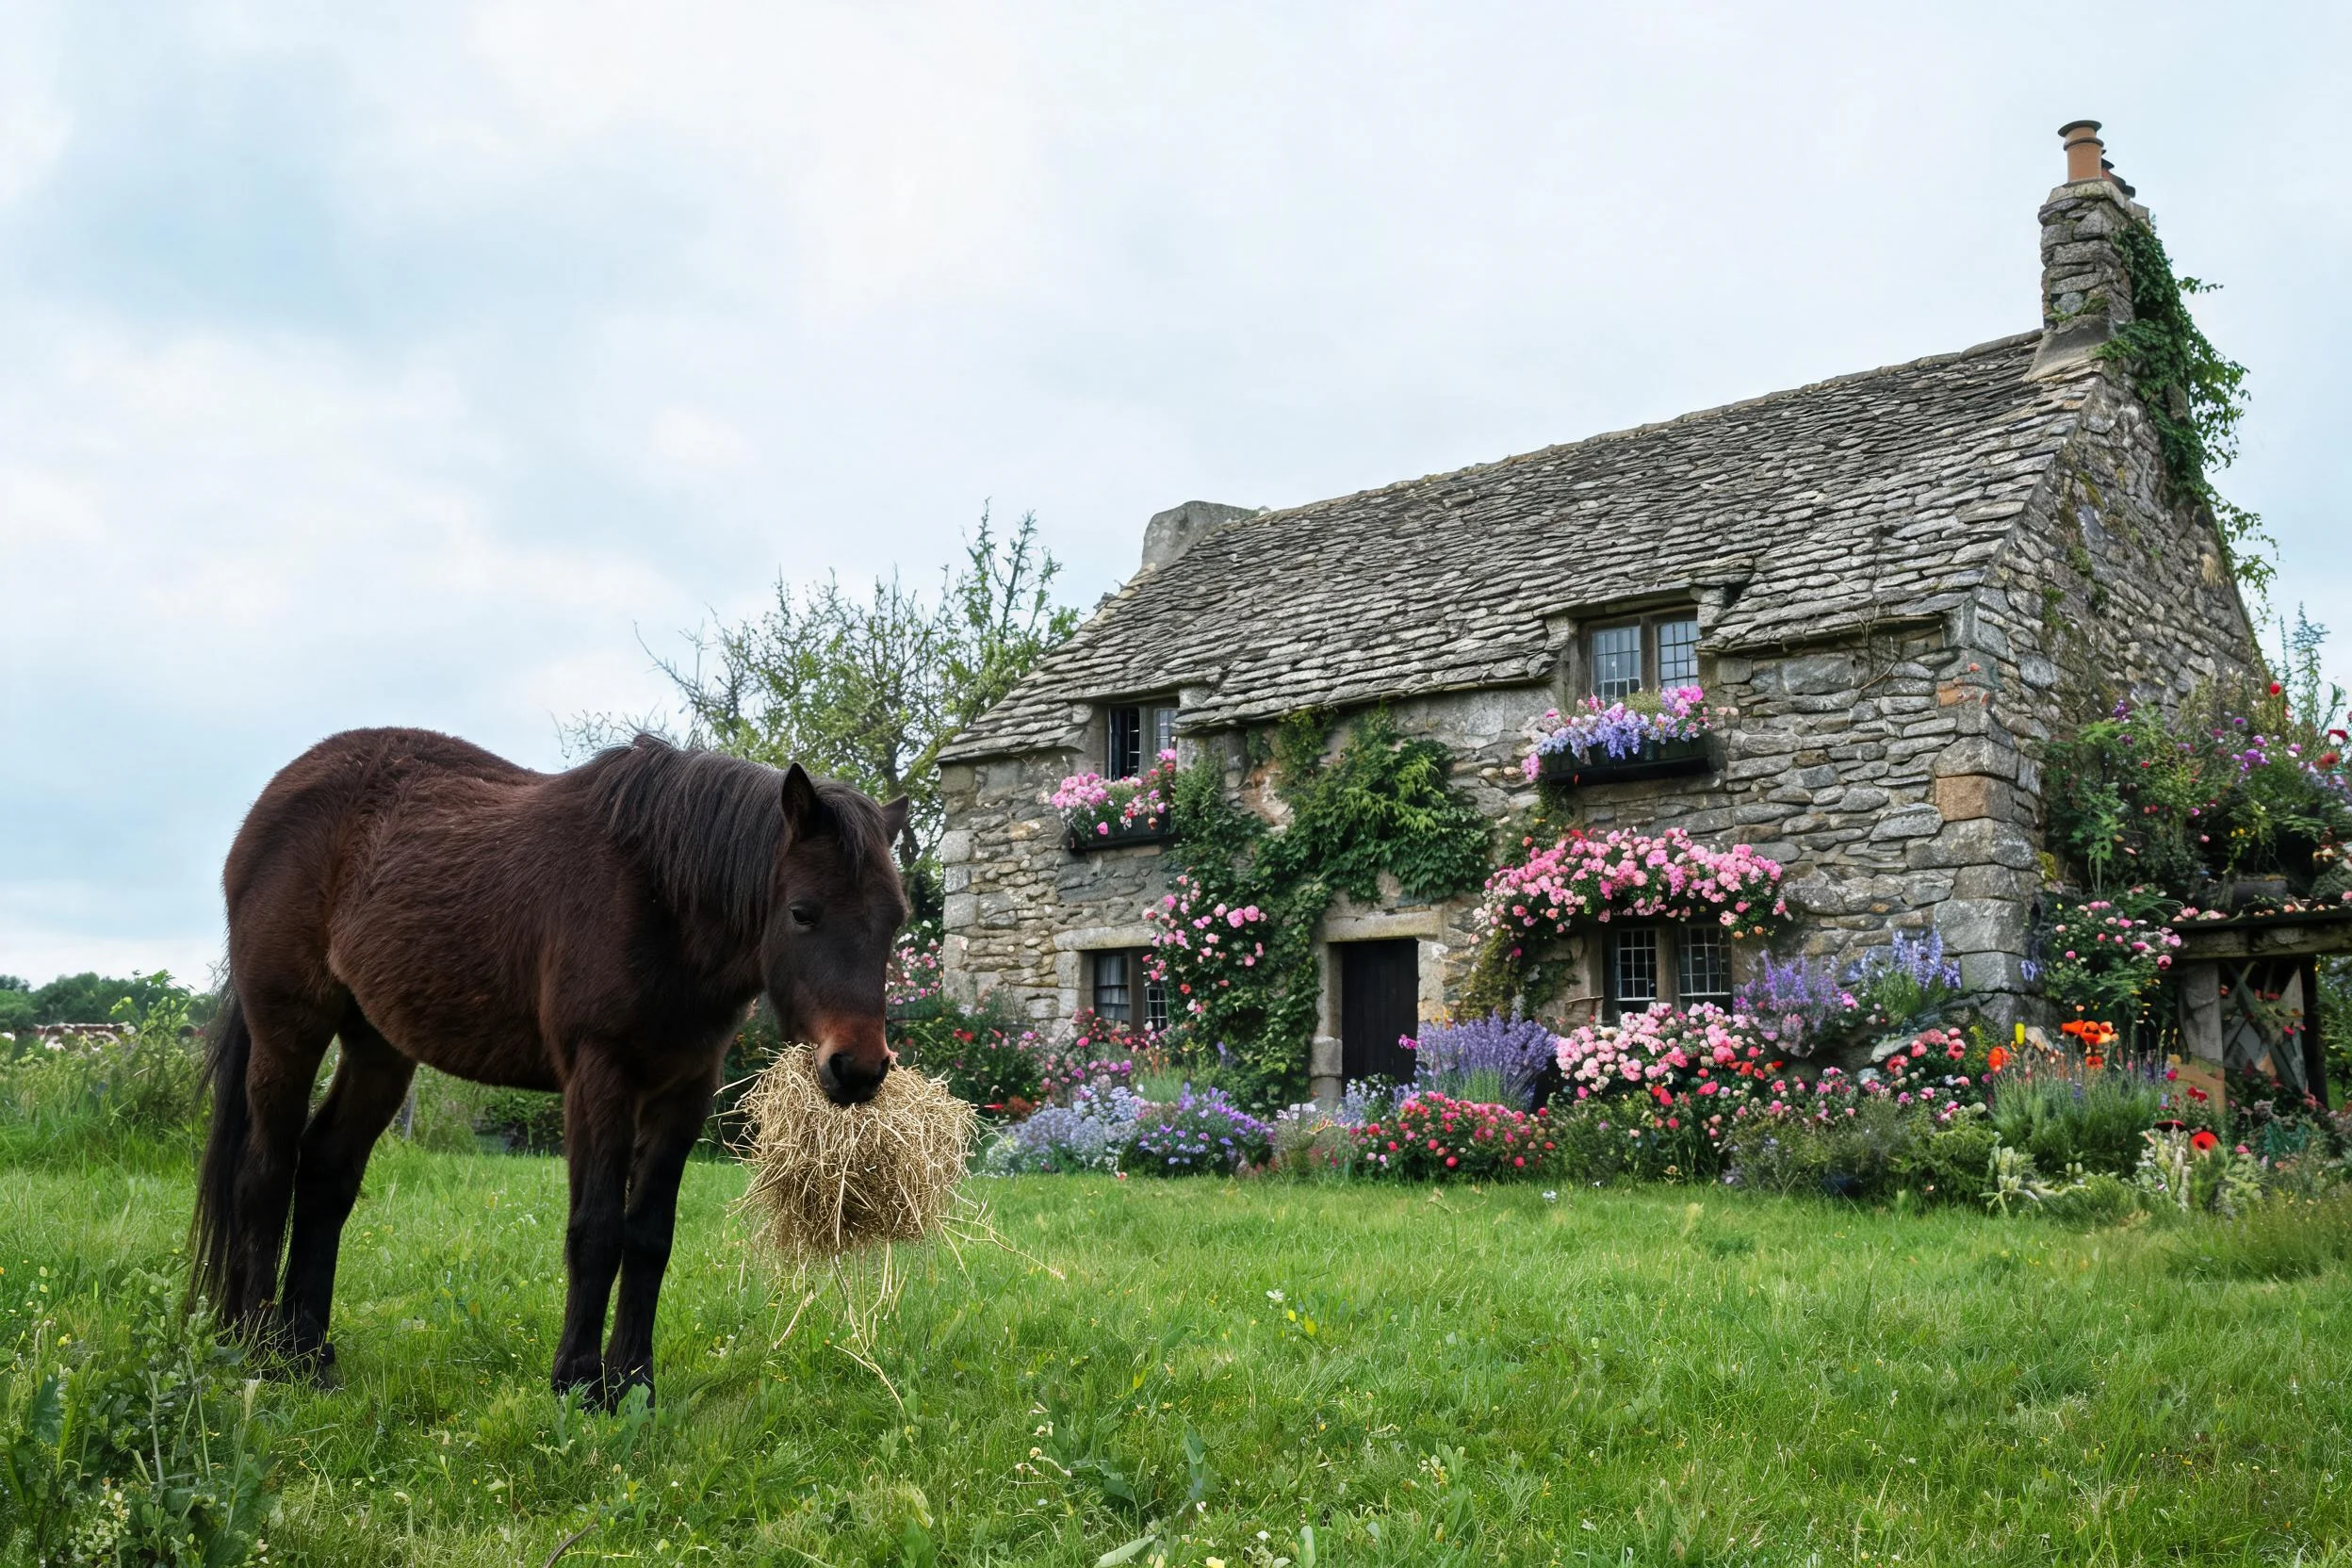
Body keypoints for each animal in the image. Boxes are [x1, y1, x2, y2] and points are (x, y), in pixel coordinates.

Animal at [189, 727, 909, 1406]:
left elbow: (649, 1238)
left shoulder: (685, 1091)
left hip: (378, 1048)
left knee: (325, 1175)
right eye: (802, 913)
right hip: (289, 1031)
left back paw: (308, 1353)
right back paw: (259, 1348)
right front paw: (580, 1384)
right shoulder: (599, 1077)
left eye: (896, 921)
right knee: (264, 1175)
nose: (859, 1068)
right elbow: (597, 1231)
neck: (658, 898)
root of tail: (270, 802)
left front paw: (636, 1384)